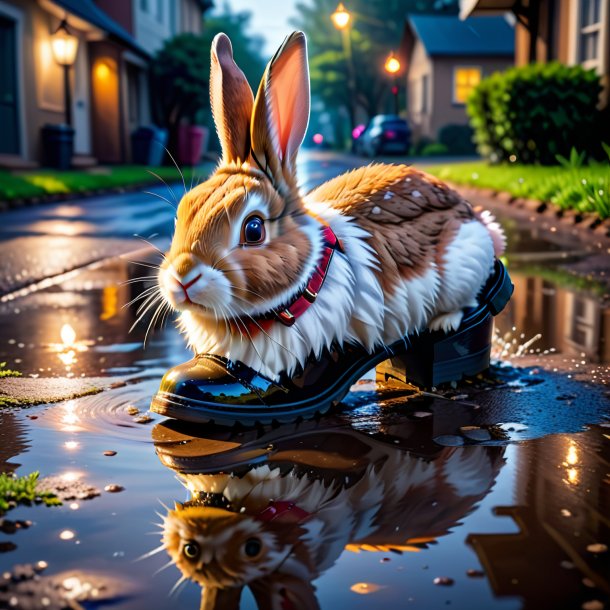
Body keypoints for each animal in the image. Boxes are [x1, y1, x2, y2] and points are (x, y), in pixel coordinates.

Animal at [157, 29, 504, 380]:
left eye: (253, 229)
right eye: (181, 215)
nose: (183, 277)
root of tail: (475, 218)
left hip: (462, 264)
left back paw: (444, 325)